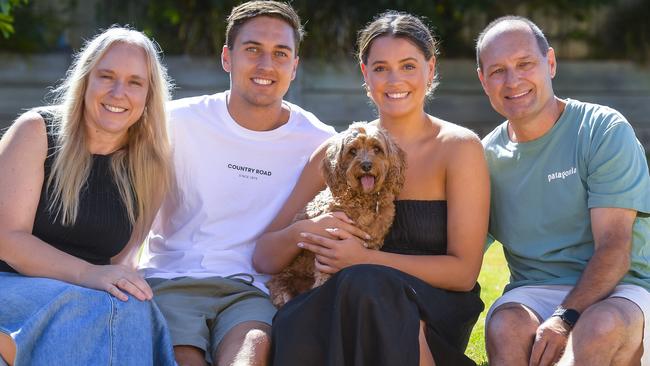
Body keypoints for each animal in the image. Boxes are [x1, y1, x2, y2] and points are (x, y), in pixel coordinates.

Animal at [266, 121, 402, 308]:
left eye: (377, 148)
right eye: (352, 151)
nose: (366, 165)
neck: (363, 199)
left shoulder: (372, 243)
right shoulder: (327, 246)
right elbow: (323, 275)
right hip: (285, 278)